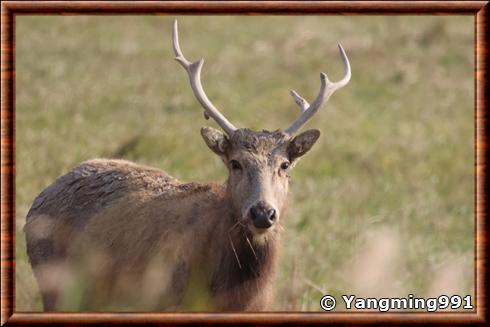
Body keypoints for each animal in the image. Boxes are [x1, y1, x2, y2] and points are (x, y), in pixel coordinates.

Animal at [24, 20, 350, 312]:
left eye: (284, 165)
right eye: (235, 163)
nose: (262, 213)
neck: (233, 296)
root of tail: (39, 199)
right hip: (53, 284)